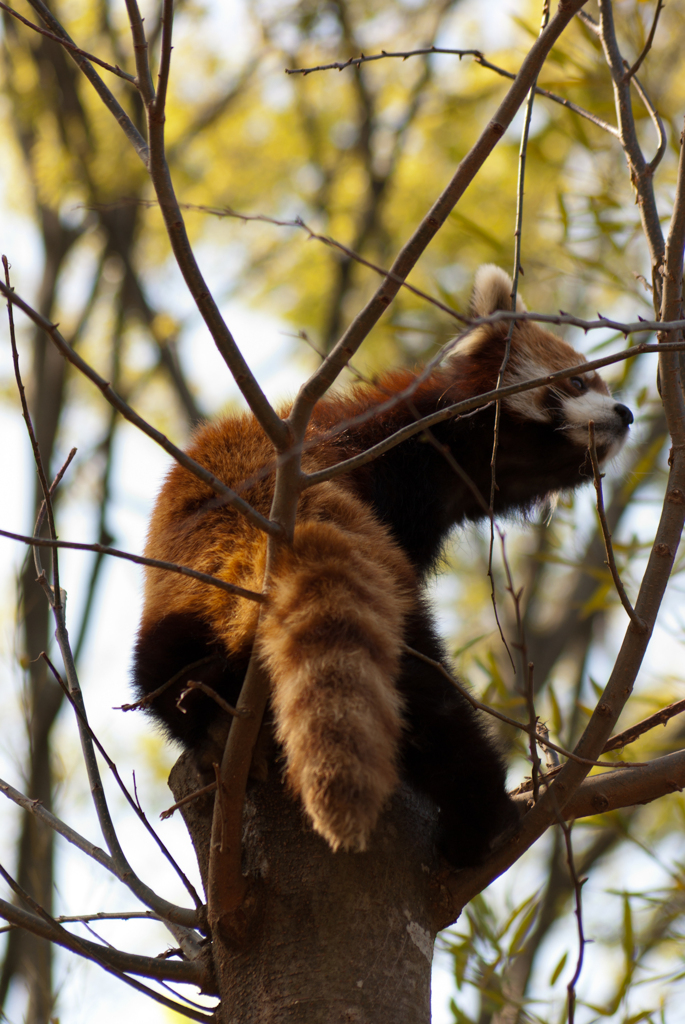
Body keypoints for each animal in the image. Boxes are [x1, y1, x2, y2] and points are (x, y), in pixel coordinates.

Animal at [132, 264, 630, 864]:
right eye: (580, 383)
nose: (626, 414)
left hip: (178, 612)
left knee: (159, 673)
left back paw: (208, 729)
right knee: (423, 692)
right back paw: (481, 815)